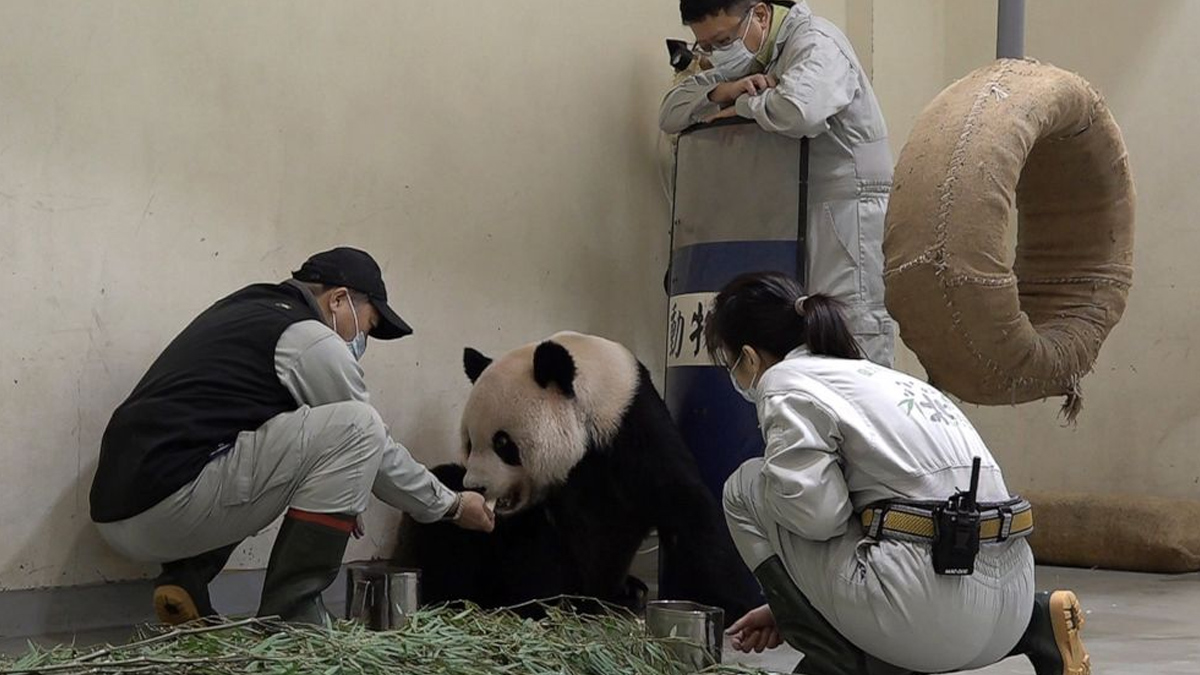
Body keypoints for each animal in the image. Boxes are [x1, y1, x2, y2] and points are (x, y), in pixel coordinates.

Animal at [393, 331, 756, 625]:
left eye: (503, 443)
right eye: (469, 442)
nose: (476, 488)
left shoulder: (633, 430)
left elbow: (684, 505)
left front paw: (735, 607)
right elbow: (537, 545)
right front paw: (543, 601)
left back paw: (626, 591)